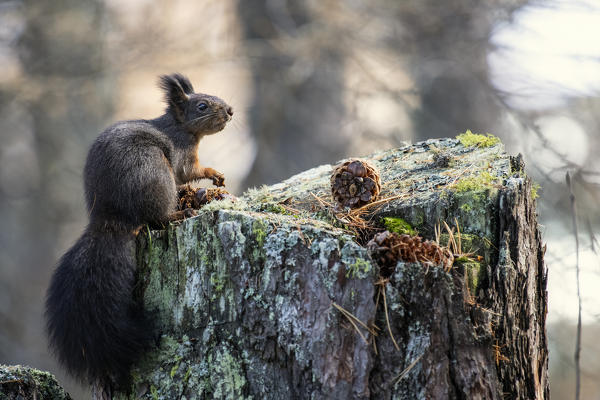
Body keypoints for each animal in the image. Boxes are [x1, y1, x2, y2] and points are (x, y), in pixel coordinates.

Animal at [44, 72, 232, 396]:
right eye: (202, 106)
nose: (231, 111)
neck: (180, 127)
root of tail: (113, 218)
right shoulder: (181, 155)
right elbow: (189, 172)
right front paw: (213, 173)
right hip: (153, 172)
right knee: (157, 215)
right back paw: (177, 213)